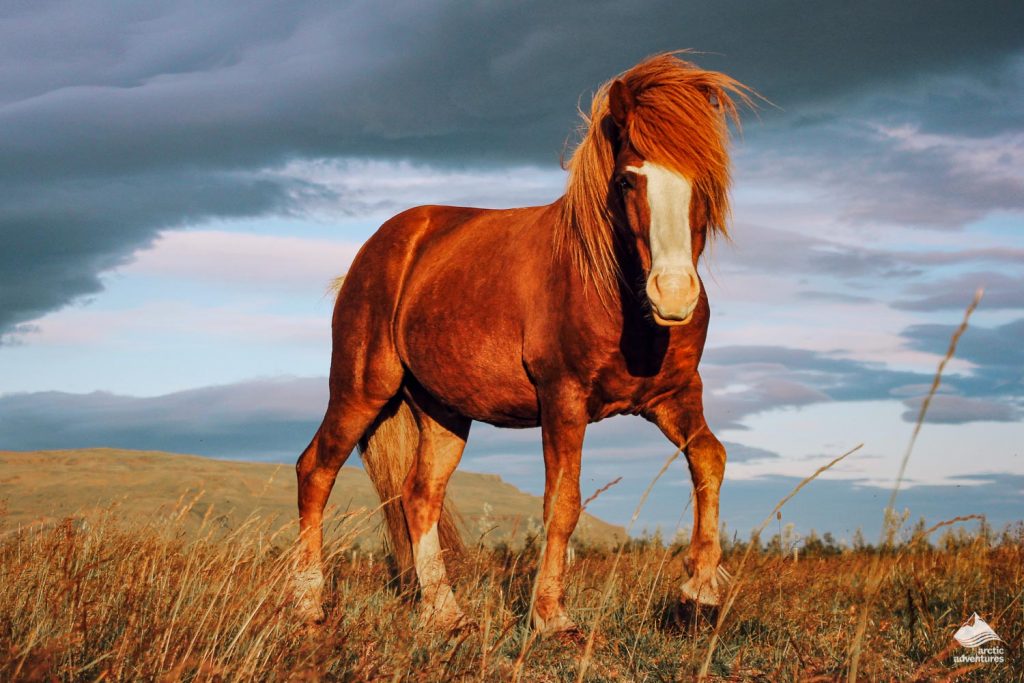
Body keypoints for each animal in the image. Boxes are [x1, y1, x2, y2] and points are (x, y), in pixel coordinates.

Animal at [295, 53, 753, 636]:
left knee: (420, 496)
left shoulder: (673, 397)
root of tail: (377, 249)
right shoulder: (563, 401)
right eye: (628, 180)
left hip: (443, 413)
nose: (672, 293)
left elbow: (710, 460)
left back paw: (446, 613)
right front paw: (551, 616)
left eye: (705, 178)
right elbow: (563, 503)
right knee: (316, 471)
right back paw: (308, 603)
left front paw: (700, 592)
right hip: (361, 390)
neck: (608, 289)